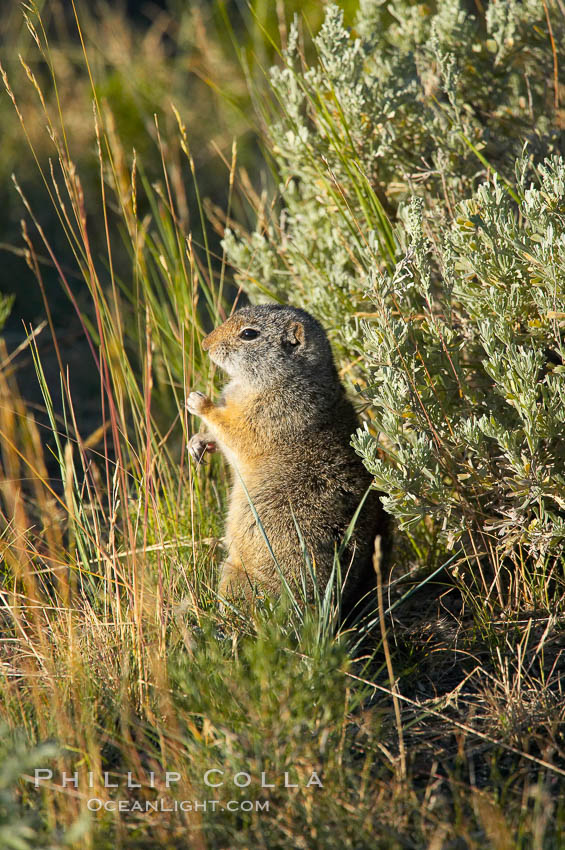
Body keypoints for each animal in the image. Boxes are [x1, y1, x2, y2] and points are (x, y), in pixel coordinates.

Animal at [185, 304, 388, 616]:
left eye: (249, 334)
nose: (206, 345)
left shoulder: (271, 414)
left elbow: (234, 431)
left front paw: (198, 402)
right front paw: (197, 442)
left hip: (235, 575)